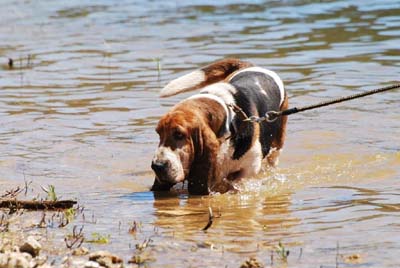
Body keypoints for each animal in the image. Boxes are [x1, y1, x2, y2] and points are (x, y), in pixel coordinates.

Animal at [150, 58, 288, 195]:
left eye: (179, 134)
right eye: (158, 133)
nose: (156, 166)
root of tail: (251, 66)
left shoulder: (250, 167)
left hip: (277, 146)